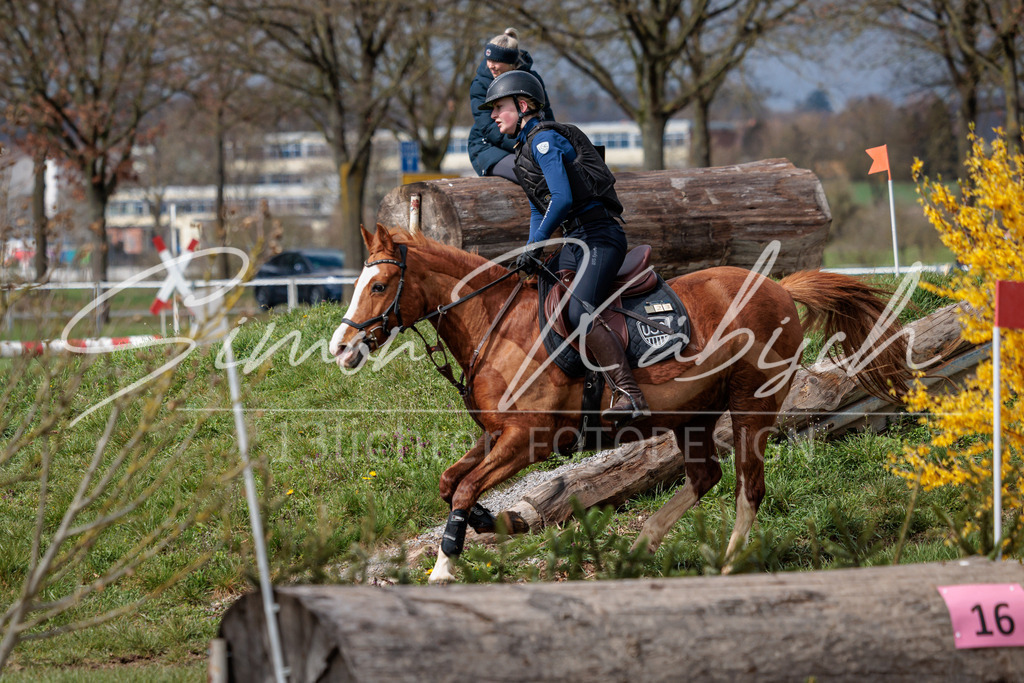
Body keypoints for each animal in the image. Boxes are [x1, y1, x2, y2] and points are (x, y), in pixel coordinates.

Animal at [329, 224, 911, 583]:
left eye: (380, 285)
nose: (339, 347)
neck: (496, 323)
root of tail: (780, 288)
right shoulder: (496, 435)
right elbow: (452, 484)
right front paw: (504, 522)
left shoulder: (530, 440)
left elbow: (467, 488)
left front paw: (444, 569)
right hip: (693, 415)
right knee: (705, 477)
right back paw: (639, 548)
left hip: (752, 407)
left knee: (748, 485)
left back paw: (728, 563)